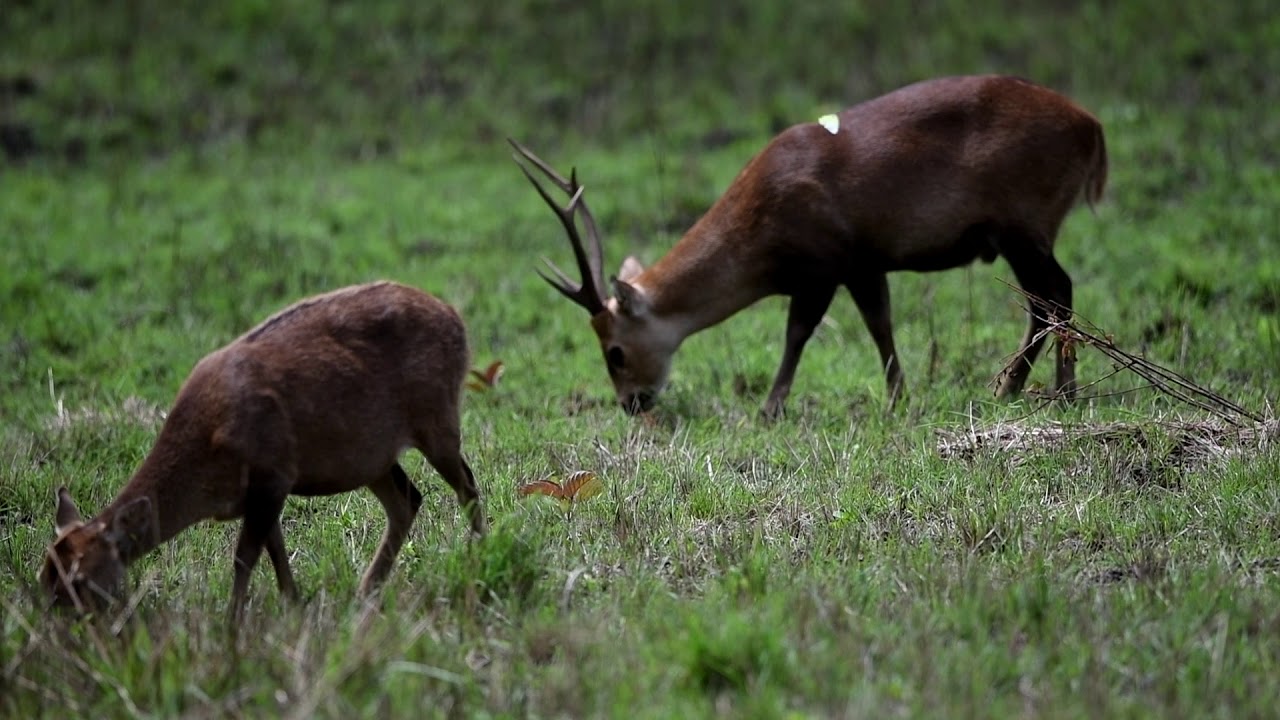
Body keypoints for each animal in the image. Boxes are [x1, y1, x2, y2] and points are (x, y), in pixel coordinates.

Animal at [40, 281, 487, 622]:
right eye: (45, 575)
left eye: (79, 579)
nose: (57, 624)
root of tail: (457, 320)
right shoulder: (257, 491)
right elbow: (275, 550)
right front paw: (294, 604)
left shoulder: (273, 472)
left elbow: (244, 556)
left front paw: (232, 622)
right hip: (372, 455)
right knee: (408, 499)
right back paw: (366, 589)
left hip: (437, 416)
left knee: (467, 486)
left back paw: (476, 557)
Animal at [511, 74, 1107, 419]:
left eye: (614, 351)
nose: (631, 403)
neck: (761, 240)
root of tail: (1094, 128)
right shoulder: (865, 261)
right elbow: (879, 323)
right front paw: (898, 396)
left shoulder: (829, 259)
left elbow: (803, 331)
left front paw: (772, 408)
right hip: (1021, 231)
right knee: (1043, 299)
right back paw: (1015, 388)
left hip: (1024, 221)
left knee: (1056, 291)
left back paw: (1061, 392)